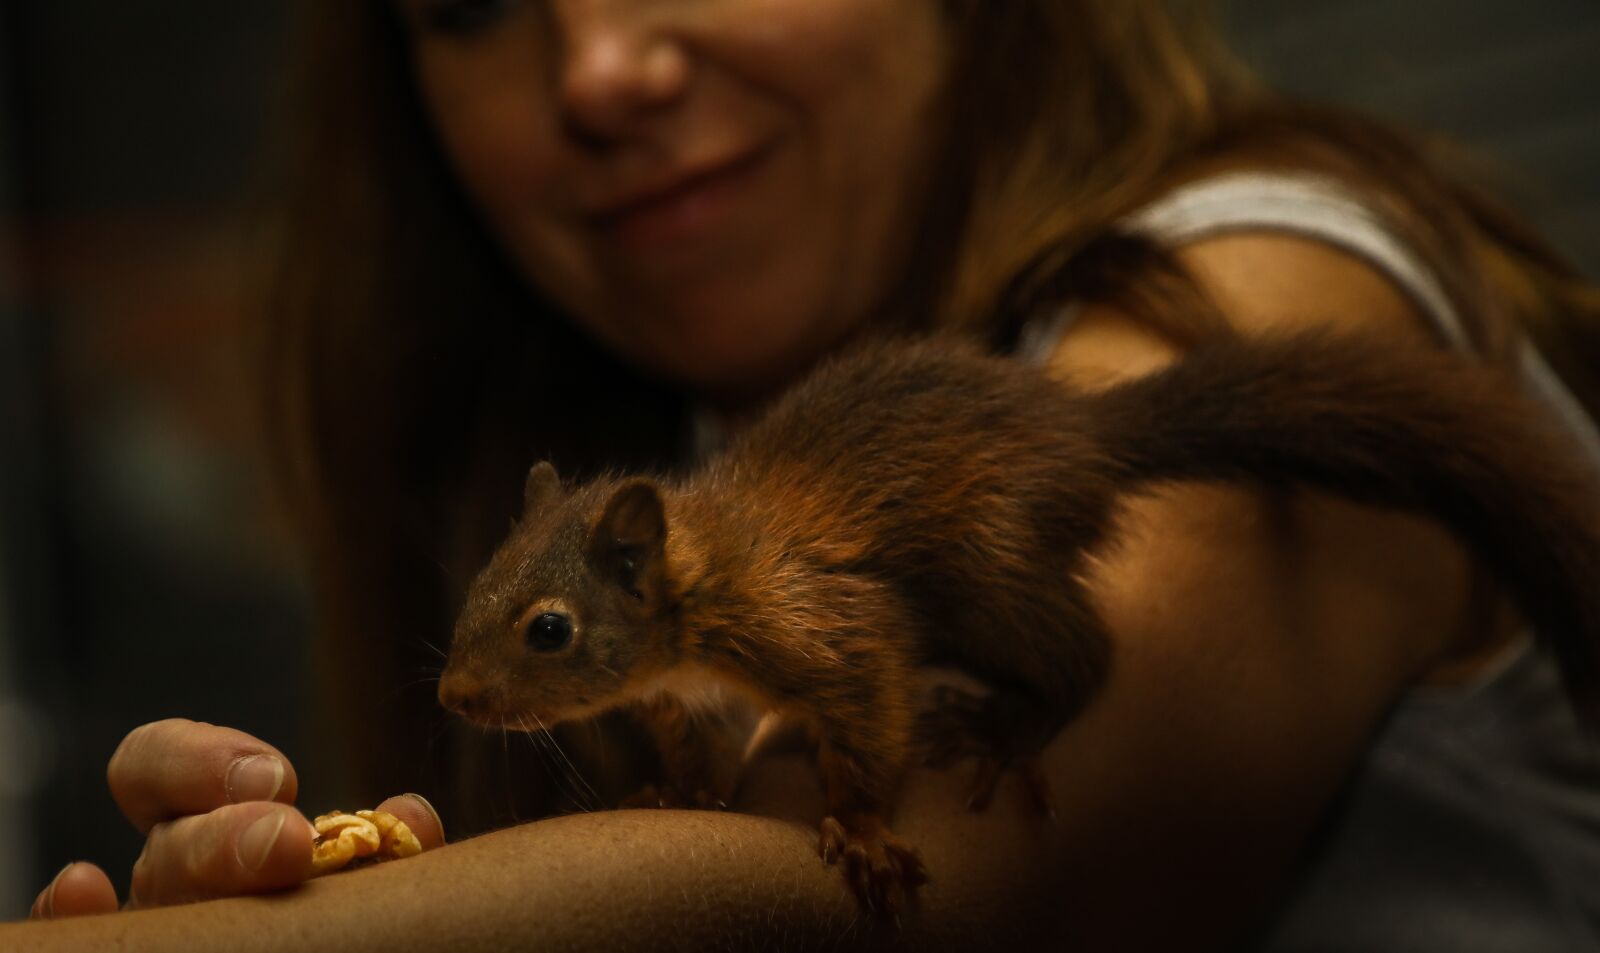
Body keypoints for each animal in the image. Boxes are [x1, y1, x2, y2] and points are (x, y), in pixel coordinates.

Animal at [438, 331, 1600, 912]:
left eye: (549, 628)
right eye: (476, 585)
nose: (453, 696)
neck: (694, 597)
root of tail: (1083, 438)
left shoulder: (825, 622)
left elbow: (867, 712)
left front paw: (861, 826)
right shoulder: (688, 699)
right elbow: (695, 760)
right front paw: (674, 793)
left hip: (989, 575)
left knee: (1087, 652)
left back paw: (1009, 724)